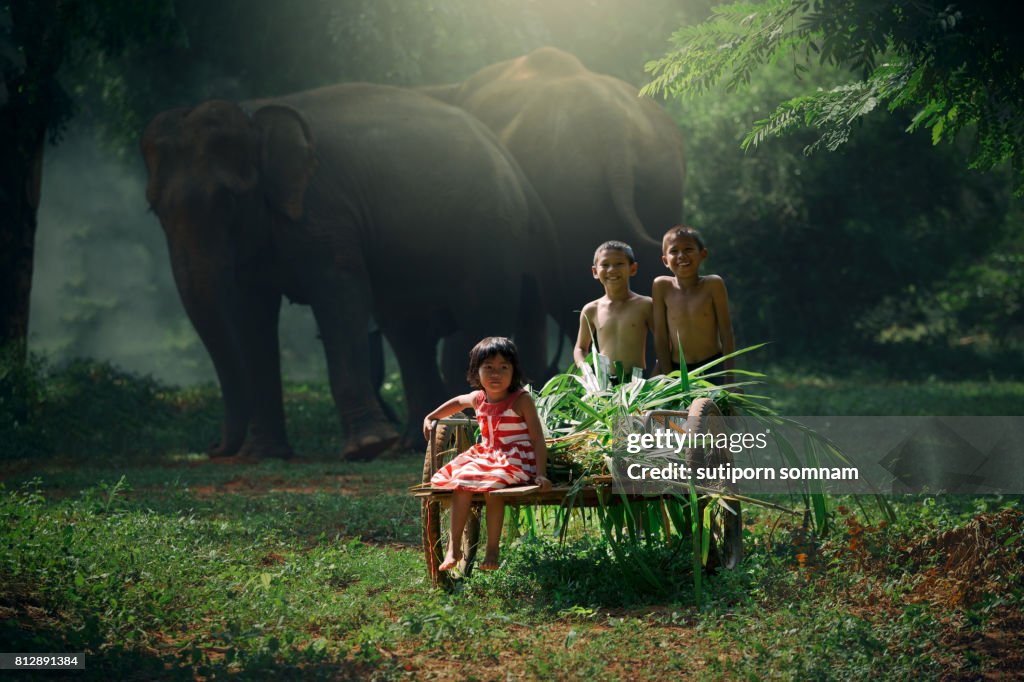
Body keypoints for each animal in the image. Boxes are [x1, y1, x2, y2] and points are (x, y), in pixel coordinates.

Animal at [142, 82, 561, 458]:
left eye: (227, 199)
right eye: (153, 209)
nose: (213, 450)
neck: (254, 113)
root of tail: (517, 173)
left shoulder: (324, 211)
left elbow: (341, 298)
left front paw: (365, 448)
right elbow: (253, 314)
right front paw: (262, 454)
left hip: (491, 237)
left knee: (476, 315)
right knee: (406, 330)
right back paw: (413, 442)